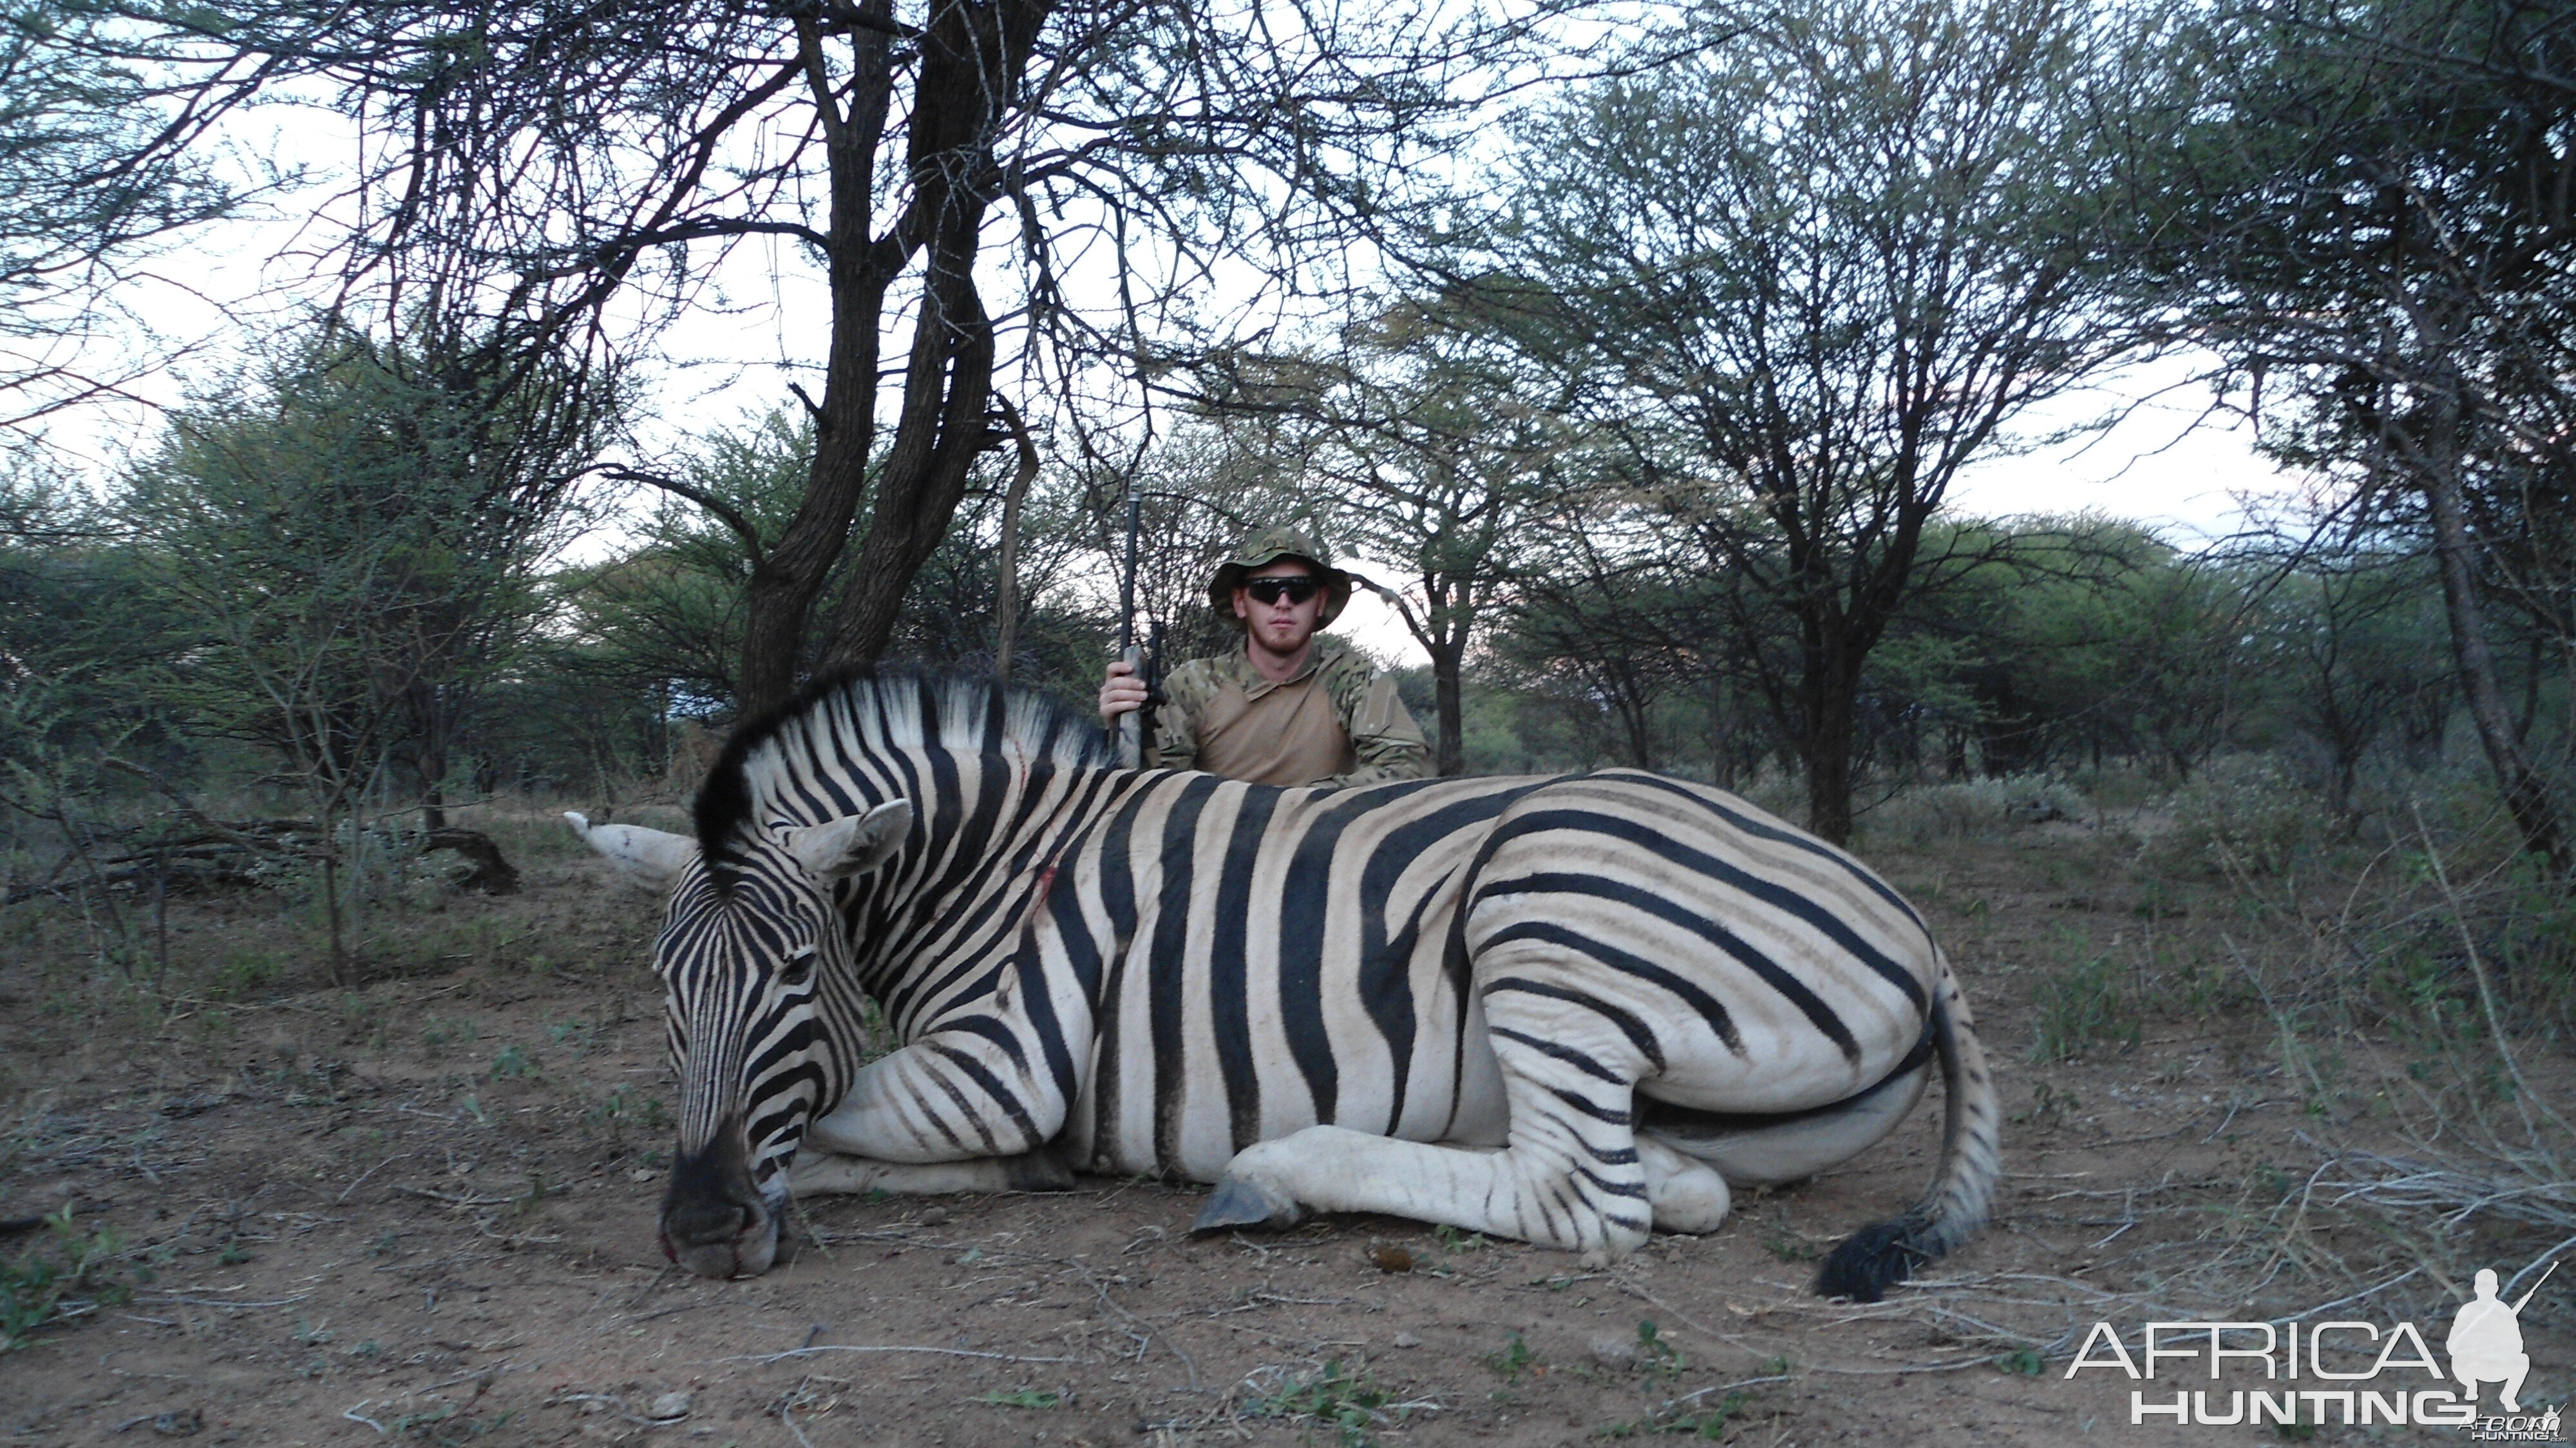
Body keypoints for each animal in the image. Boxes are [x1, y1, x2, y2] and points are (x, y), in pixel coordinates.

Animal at [574, 670, 1999, 1299]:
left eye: (793, 972)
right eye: (662, 988)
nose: (699, 1230)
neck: (991, 858)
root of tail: (1920, 932)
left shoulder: (996, 1068)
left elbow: (822, 1123)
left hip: (1548, 907)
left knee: (1584, 1200)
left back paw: (1271, 1175)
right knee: (1681, 1184)